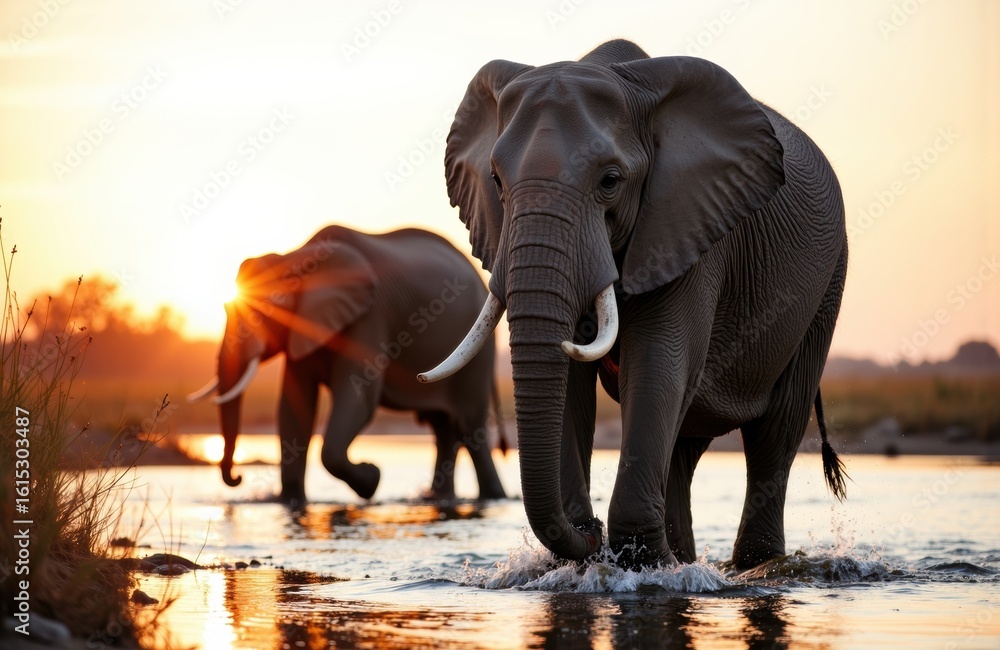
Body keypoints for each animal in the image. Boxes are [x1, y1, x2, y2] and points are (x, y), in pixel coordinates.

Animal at [188, 225, 507, 505]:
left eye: (267, 309)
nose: (238, 477)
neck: (299, 257)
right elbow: (294, 410)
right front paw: (289, 502)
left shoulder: (369, 316)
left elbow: (358, 397)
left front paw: (372, 478)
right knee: (442, 427)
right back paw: (438, 500)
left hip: (479, 353)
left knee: (469, 426)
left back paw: (493, 499)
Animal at [420, 40, 847, 570]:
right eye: (496, 181)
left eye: (610, 181)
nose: (592, 534)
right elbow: (573, 383)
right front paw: (590, 562)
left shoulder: (690, 228)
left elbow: (659, 360)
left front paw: (635, 562)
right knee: (685, 444)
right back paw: (682, 559)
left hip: (828, 282)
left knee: (774, 432)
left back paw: (753, 565)